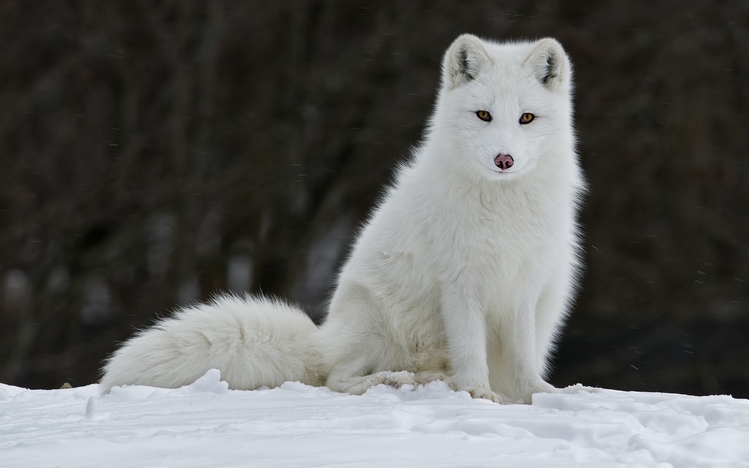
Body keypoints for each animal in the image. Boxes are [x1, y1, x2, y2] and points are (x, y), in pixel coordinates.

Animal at [101, 34, 586, 404]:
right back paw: (402, 380)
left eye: (526, 117)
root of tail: (323, 337)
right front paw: (479, 394)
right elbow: (471, 351)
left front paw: (539, 396)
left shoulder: (523, 287)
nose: (504, 159)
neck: (503, 208)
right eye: (484, 115)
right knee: (337, 378)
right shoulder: (461, 286)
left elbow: (522, 361)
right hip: (375, 318)